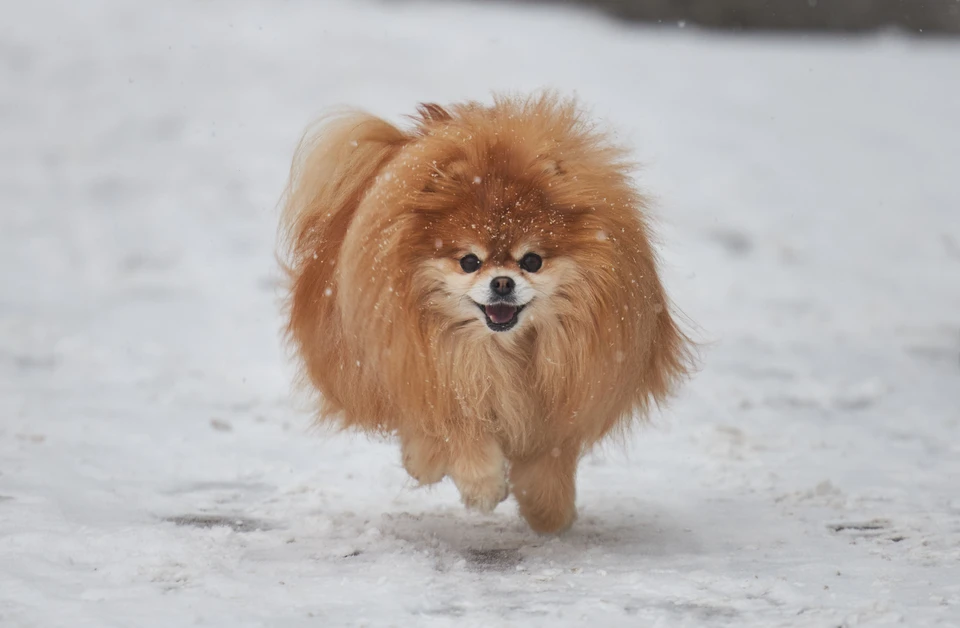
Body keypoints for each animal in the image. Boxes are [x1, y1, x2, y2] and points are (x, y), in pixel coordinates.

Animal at [282, 94, 692, 536]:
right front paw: (481, 486)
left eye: (532, 261)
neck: (503, 351)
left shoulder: (564, 396)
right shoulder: (437, 373)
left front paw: (548, 509)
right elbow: (459, 429)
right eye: (469, 262)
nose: (502, 283)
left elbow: (548, 457)